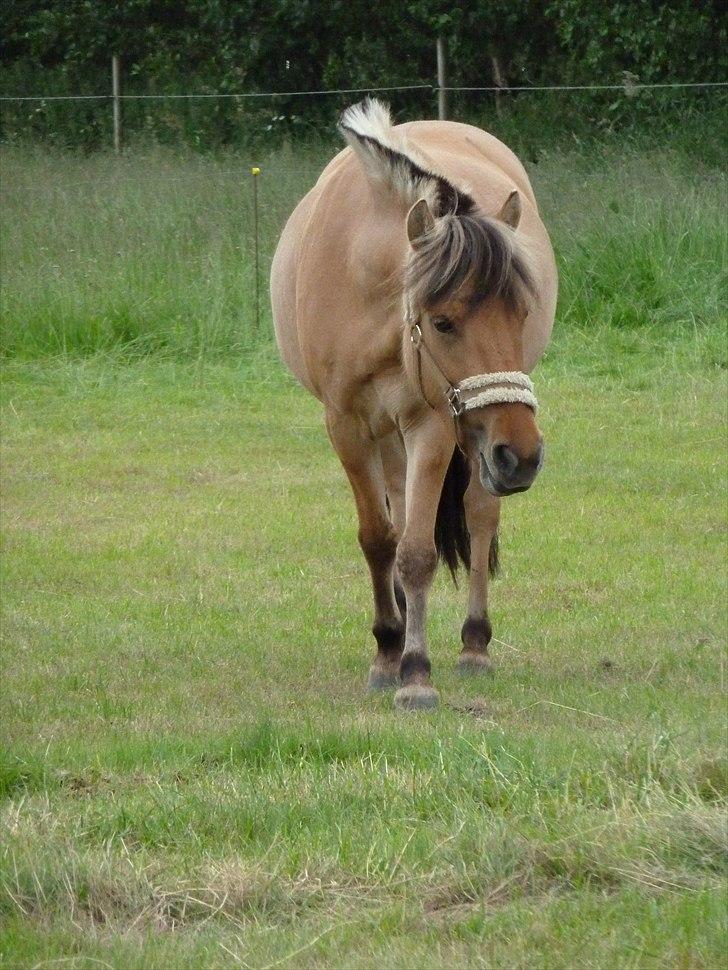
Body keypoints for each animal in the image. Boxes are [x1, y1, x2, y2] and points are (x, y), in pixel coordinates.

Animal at [270, 98, 556, 708]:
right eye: (443, 322)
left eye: (521, 313)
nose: (521, 457)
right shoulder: (347, 426)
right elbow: (381, 541)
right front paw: (387, 652)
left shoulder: (434, 423)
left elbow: (419, 551)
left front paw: (417, 674)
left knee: (480, 515)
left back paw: (474, 645)